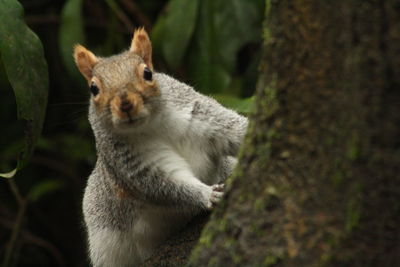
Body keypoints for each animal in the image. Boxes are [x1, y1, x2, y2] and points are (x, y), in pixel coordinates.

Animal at [72, 28, 247, 266]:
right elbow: (163, 183)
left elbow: (231, 131)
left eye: (148, 73)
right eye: (93, 88)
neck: (152, 123)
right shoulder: (129, 161)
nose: (125, 104)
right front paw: (207, 195)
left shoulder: (197, 113)